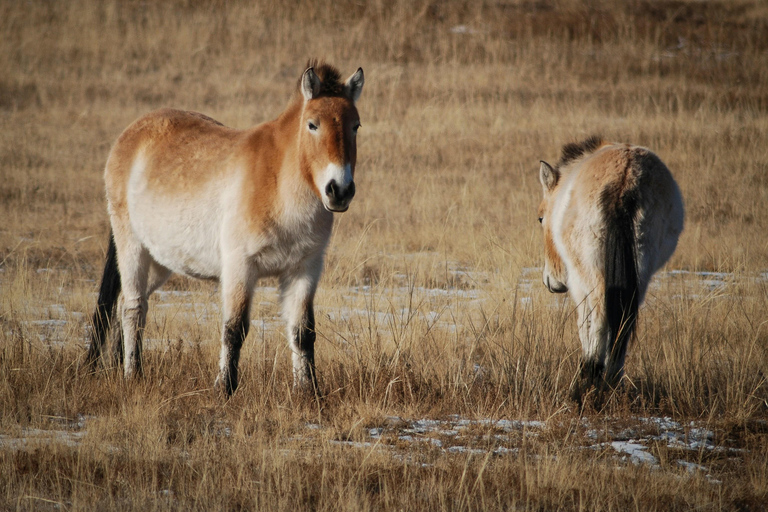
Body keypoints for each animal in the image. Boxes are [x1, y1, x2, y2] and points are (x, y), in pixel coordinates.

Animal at [85, 61, 364, 397]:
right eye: (312, 125)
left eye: (355, 126)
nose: (339, 190)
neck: (278, 183)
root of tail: (131, 133)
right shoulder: (240, 267)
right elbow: (234, 328)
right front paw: (225, 389)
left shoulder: (304, 269)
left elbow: (302, 332)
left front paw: (309, 392)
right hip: (131, 247)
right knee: (133, 309)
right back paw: (132, 375)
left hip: (159, 261)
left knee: (122, 306)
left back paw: (116, 368)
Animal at [537, 136, 684, 395]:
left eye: (541, 218)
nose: (551, 282)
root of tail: (625, 179)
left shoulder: (578, 283)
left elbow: (584, 323)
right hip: (641, 271)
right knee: (624, 321)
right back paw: (613, 380)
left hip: (591, 273)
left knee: (599, 316)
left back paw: (589, 380)